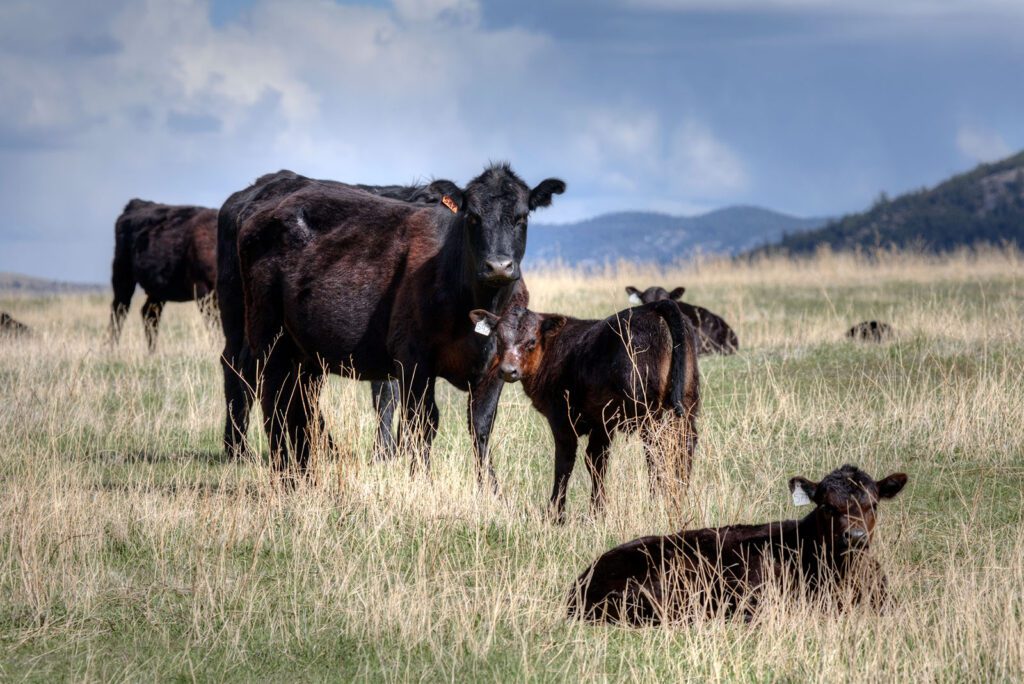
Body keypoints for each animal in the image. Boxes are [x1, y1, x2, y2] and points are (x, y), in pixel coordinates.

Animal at [110, 200, 218, 350]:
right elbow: (215, 325)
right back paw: (111, 349)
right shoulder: (204, 292)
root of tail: (136, 203)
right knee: (119, 311)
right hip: (122, 274)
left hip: (158, 290)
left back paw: (152, 352)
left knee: (149, 314)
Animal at [217, 164, 565, 484]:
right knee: (268, 395)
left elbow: (481, 425)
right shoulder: (413, 359)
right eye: (473, 217)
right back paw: (275, 469)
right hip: (264, 334)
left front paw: (489, 488)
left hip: (302, 351)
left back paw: (306, 471)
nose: (498, 266)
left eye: (521, 217)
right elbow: (420, 420)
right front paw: (418, 479)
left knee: (298, 403)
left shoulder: (495, 367)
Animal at [468, 300, 700, 521]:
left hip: (648, 411)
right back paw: (679, 496)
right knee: (684, 445)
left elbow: (564, 463)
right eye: (499, 339)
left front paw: (555, 514)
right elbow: (597, 461)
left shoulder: (562, 418)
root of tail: (655, 306)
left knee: (658, 450)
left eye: (531, 342)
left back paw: (657, 502)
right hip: (687, 402)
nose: (508, 370)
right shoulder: (602, 422)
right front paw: (597, 512)